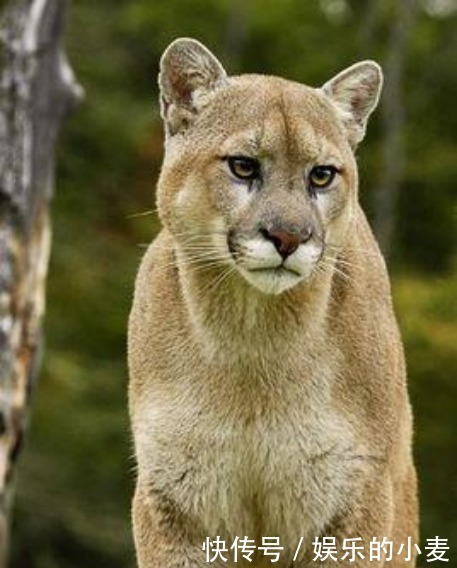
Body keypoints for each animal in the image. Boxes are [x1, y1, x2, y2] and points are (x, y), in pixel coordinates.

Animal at [127, 37, 416, 564]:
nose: (288, 236)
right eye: (243, 166)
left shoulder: (358, 495)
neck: (253, 336)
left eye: (321, 176)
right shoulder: (173, 499)